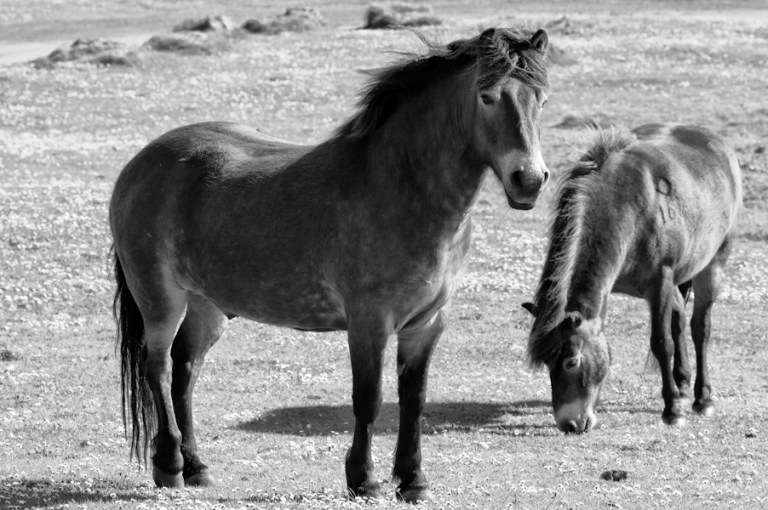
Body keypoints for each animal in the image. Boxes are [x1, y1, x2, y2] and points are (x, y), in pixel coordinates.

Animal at [110, 27, 550, 501]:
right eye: (487, 97)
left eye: (542, 99)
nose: (528, 180)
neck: (400, 189)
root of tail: (141, 163)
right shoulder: (369, 322)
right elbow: (369, 399)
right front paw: (364, 478)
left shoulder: (427, 324)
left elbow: (414, 401)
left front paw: (413, 480)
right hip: (161, 300)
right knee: (157, 369)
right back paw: (169, 465)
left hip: (205, 306)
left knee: (185, 373)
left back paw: (196, 467)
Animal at [522, 123, 742, 434]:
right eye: (546, 363)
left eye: (571, 362)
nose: (570, 424)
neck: (628, 207)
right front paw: (675, 396)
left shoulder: (660, 284)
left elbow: (662, 342)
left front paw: (672, 411)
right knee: (680, 321)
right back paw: (682, 383)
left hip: (714, 264)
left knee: (700, 328)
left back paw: (702, 398)